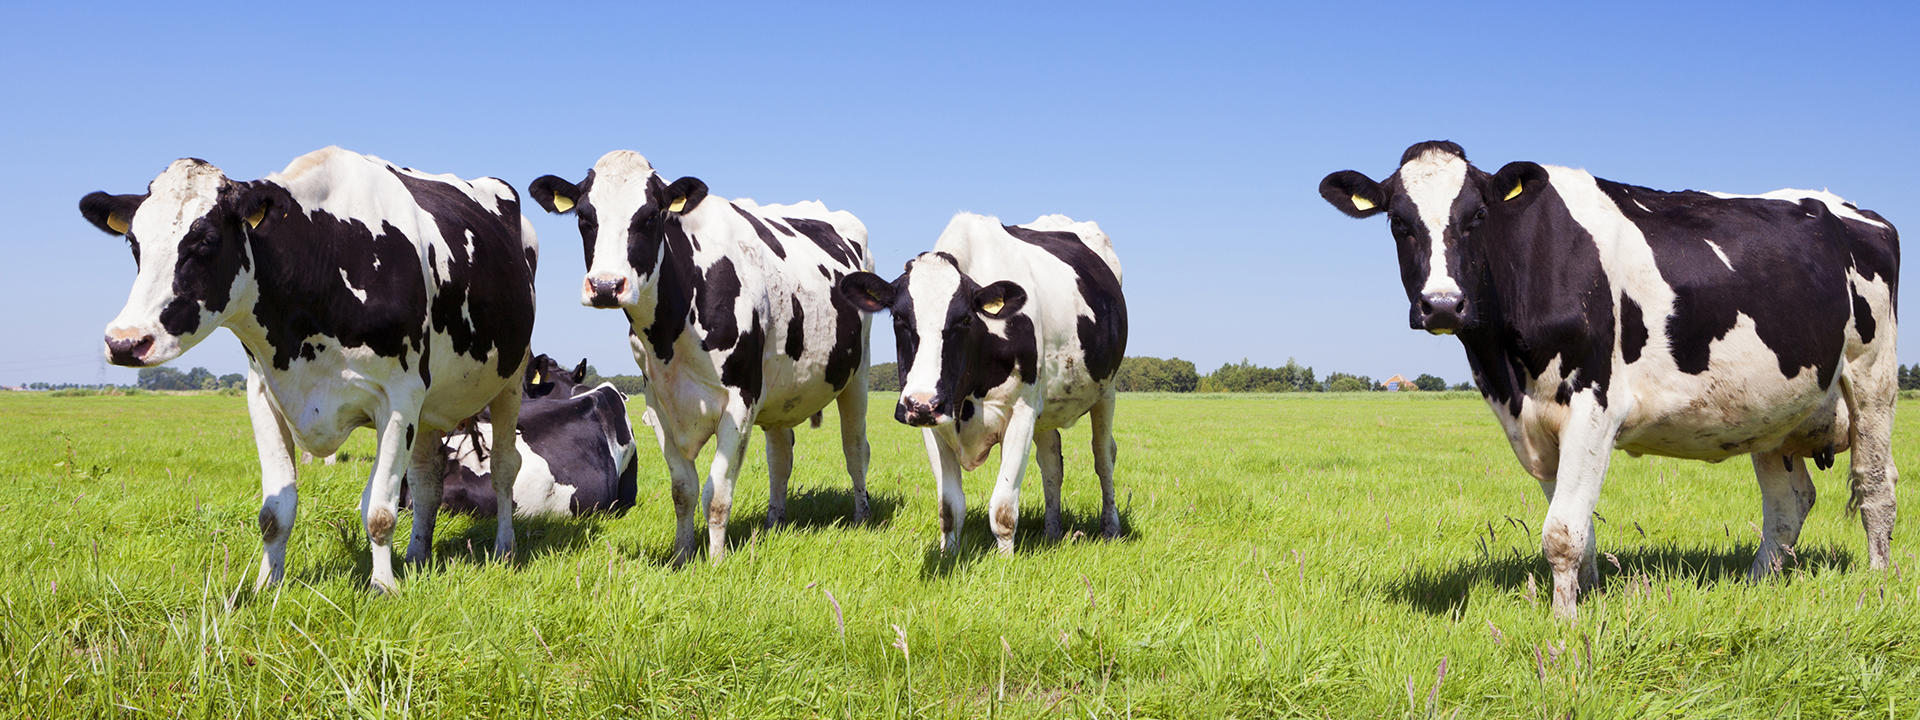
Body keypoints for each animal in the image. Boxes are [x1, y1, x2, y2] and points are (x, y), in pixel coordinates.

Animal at [79, 146, 538, 593]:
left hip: (511, 381)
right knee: (428, 479)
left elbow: (380, 510)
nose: (125, 341)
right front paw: (267, 585)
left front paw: (383, 587)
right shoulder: (265, 394)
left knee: (503, 468)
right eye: (134, 242)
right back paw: (417, 556)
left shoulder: (399, 397)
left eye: (205, 241)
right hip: (430, 407)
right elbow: (274, 512)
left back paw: (504, 549)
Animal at [528, 150, 873, 564]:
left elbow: (717, 494)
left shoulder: (740, 402)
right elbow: (683, 490)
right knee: (780, 458)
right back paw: (774, 522)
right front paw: (682, 555)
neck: (672, 330)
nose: (606, 286)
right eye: (584, 216)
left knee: (855, 449)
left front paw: (718, 560)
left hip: (857, 374)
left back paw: (861, 516)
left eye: (650, 216)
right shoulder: (659, 405)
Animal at [839, 213, 1128, 554]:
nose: (921, 403)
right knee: (1051, 463)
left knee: (1103, 455)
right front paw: (947, 555)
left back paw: (1110, 527)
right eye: (898, 317)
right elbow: (950, 508)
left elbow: (1003, 507)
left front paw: (1005, 561)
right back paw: (1052, 532)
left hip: (1107, 391)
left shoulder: (1021, 412)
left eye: (965, 319)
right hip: (1044, 409)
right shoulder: (933, 423)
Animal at [1319, 141, 1899, 618]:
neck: (1507, 368)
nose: (1442, 304)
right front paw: (1588, 600)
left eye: (1478, 215)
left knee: (1875, 485)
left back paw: (1876, 585)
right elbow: (1580, 527)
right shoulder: (1535, 424)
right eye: (1398, 221)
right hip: (1774, 413)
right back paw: (1754, 587)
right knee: (1788, 505)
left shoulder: (1594, 403)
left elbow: (1561, 532)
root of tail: (1853, 209)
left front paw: (1563, 625)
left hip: (1873, 376)